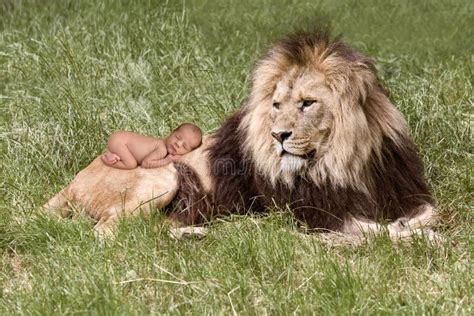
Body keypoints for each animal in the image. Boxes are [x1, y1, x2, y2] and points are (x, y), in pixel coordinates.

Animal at [44, 31, 436, 239]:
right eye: (276, 104)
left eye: (307, 103)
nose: (279, 136)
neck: (343, 162)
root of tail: (71, 182)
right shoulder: (315, 217)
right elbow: (375, 231)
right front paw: (420, 238)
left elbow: (428, 213)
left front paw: (415, 224)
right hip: (163, 174)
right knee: (108, 232)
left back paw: (200, 234)